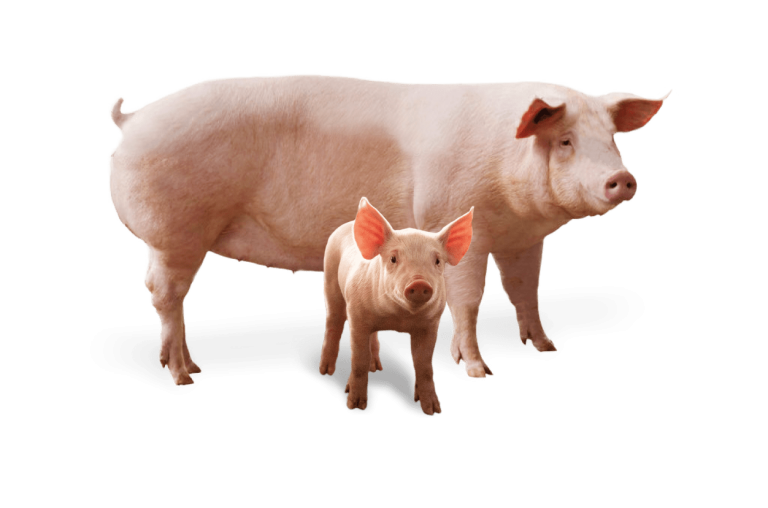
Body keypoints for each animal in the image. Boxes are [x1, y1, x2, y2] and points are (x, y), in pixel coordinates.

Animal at [106, 74, 670, 387]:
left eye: (612, 137)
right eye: (566, 140)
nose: (623, 178)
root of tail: (132, 120)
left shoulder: (525, 238)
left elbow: (524, 290)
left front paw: (545, 347)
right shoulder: (458, 219)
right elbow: (470, 300)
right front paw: (478, 370)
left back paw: (183, 368)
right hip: (174, 233)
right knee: (165, 297)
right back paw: (185, 375)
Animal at [319, 197, 473, 415]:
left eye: (437, 261)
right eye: (393, 258)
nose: (420, 283)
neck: (397, 318)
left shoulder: (430, 324)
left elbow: (424, 366)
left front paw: (432, 409)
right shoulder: (357, 317)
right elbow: (358, 361)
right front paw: (356, 406)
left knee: (372, 337)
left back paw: (376, 368)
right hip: (331, 279)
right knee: (334, 321)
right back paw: (326, 371)